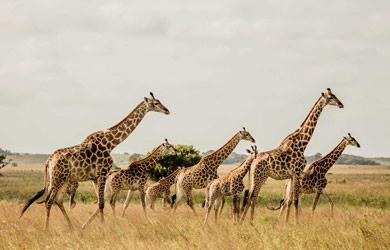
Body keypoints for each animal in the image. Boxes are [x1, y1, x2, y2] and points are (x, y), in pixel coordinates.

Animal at [19, 93, 169, 229]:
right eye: (155, 103)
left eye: (160, 101)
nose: (167, 110)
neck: (111, 143)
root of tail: (48, 161)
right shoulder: (102, 173)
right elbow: (101, 203)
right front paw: (103, 227)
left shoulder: (95, 177)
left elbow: (99, 203)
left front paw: (88, 226)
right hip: (58, 179)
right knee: (49, 201)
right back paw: (47, 229)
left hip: (61, 179)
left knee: (57, 200)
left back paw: (72, 227)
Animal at [239, 88, 342, 225]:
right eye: (330, 98)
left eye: (334, 95)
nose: (341, 104)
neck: (302, 143)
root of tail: (253, 162)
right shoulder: (297, 172)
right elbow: (295, 201)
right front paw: (296, 224)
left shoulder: (292, 175)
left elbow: (289, 202)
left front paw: (286, 223)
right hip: (260, 176)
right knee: (252, 197)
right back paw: (248, 223)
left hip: (256, 177)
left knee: (251, 197)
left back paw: (244, 222)